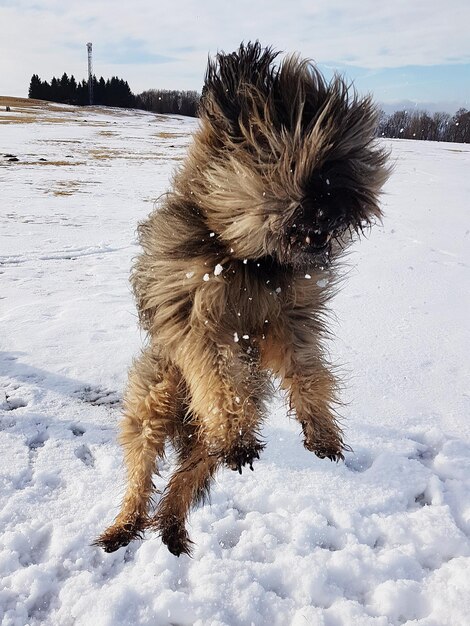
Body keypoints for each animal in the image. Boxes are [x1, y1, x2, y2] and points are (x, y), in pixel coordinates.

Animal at [95, 41, 390, 552]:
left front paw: (322, 432)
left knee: (185, 479)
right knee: (141, 470)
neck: (249, 259)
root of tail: (185, 424)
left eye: (345, 164)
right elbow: (220, 371)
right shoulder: (196, 317)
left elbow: (308, 371)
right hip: (153, 402)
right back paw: (126, 525)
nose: (336, 211)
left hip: (198, 446)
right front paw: (237, 426)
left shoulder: (288, 321)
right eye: (302, 167)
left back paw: (172, 530)